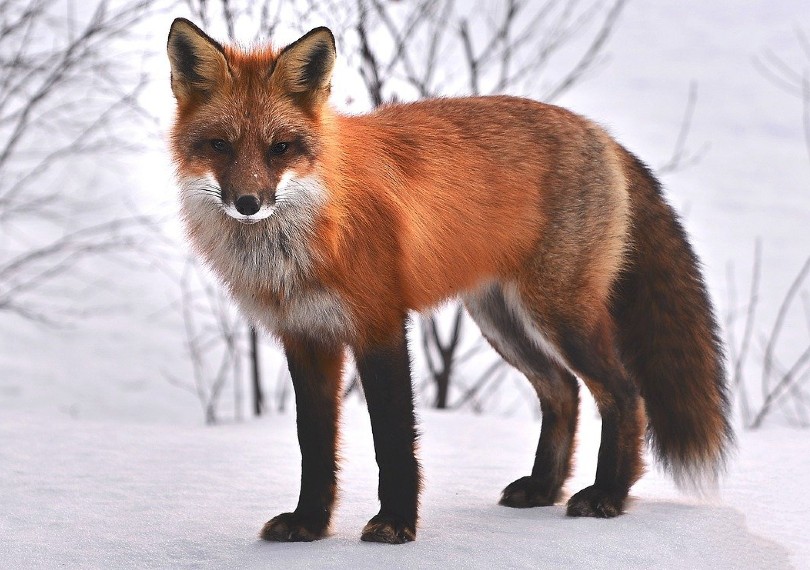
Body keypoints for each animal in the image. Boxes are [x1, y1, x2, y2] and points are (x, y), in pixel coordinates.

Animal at [166, 17, 732, 540]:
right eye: (219, 145)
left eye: (280, 148)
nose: (248, 203)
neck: (309, 233)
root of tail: (601, 134)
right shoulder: (306, 337)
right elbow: (315, 446)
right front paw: (309, 524)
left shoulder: (379, 324)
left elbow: (393, 438)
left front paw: (395, 524)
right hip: (502, 321)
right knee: (563, 391)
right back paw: (543, 488)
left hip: (559, 314)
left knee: (624, 393)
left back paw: (608, 494)